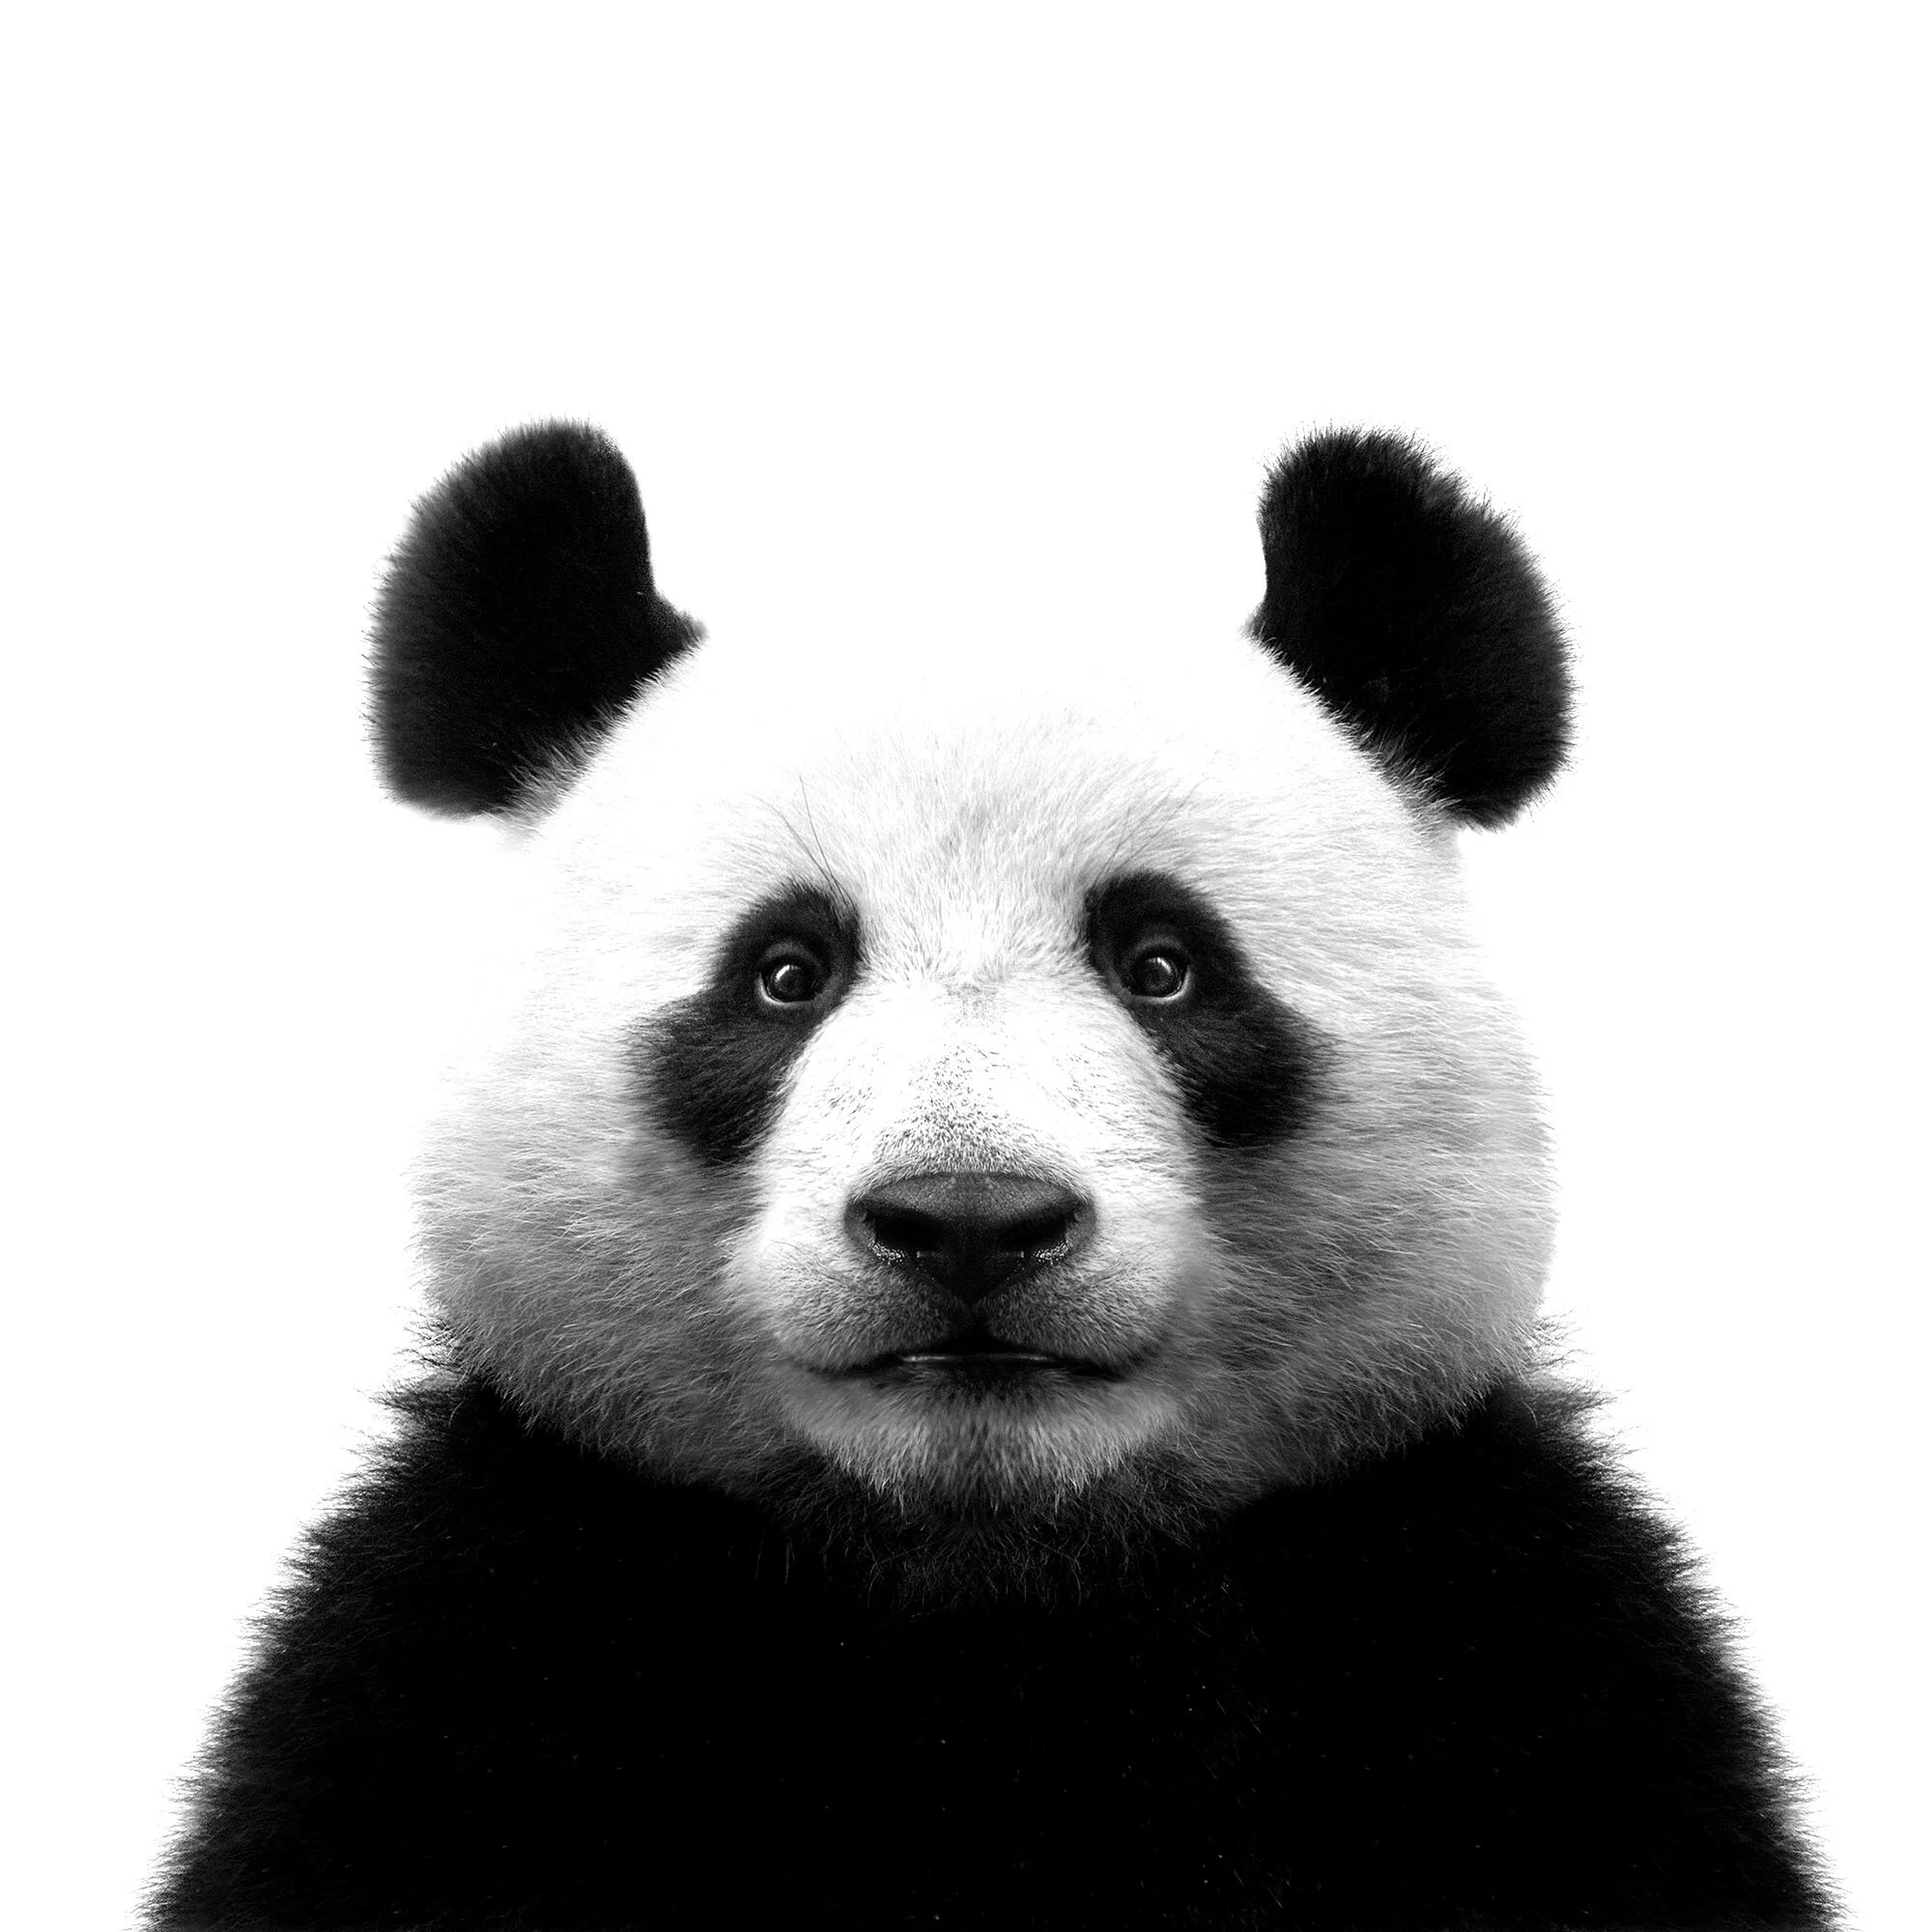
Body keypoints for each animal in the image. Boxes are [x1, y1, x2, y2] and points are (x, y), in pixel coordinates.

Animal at [149, 424, 1832, 1931]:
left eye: (1164, 964)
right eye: (785, 972)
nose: (968, 1224)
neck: (986, 1583)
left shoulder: (1487, 1644)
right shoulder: (490, 1640)